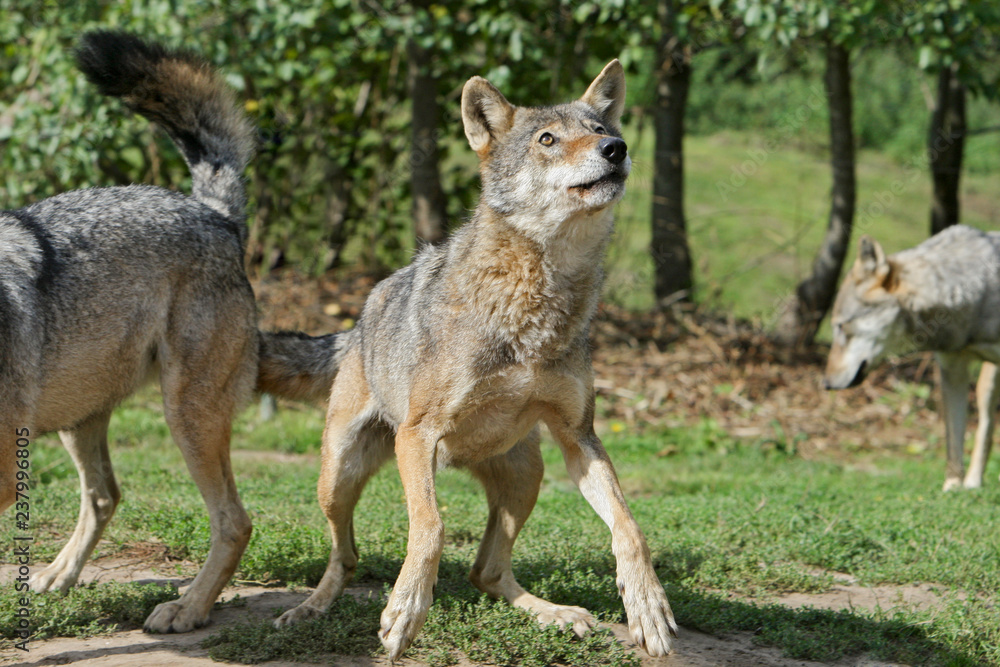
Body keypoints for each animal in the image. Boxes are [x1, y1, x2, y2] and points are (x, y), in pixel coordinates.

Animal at [0, 31, 338, 633]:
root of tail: (213, 213)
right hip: (77, 419)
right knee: (105, 496)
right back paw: (58, 577)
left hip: (186, 416)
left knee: (234, 522)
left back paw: (189, 609)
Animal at [272, 61, 678, 659]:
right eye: (547, 140)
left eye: (599, 128)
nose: (616, 148)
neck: (536, 298)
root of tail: (357, 323)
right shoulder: (417, 436)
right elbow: (431, 529)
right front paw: (406, 610)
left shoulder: (580, 436)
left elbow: (630, 527)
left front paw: (646, 605)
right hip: (339, 475)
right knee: (345, 557)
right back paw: (309, 608)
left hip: (527, 474)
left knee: (486, 572)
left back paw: (555, 614)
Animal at [824, 226, 1000, 491]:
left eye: (841, 326)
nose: (825, 383)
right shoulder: (952, 372)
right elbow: (953, 445)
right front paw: (951, 490)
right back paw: (972, 483)